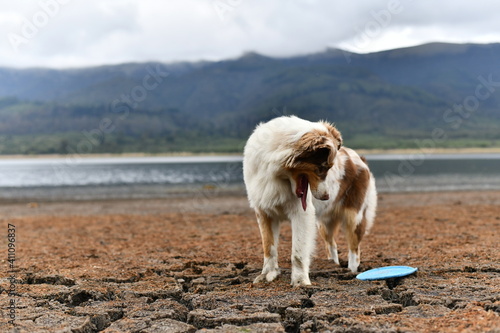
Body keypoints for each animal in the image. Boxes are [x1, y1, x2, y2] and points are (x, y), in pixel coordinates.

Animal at [242, 115, 376, 286]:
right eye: (322, 168)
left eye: (329, 168)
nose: (327, 197)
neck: (275, 173)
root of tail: (361, 159)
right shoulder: (264, 211)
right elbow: (268, 247)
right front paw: (268, 274)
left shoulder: (302, 213)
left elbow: (298, 252)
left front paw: (300, 281)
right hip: (325, 223)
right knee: (331, 243)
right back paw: (332, 264)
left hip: (354, 216)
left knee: (354, 248)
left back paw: (351, 271)